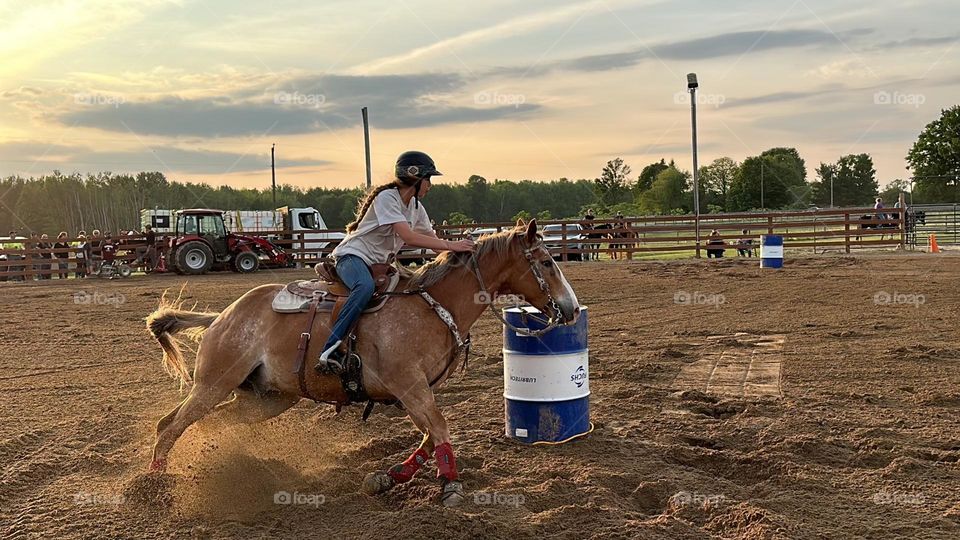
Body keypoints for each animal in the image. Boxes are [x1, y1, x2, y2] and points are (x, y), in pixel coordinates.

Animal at [142, 219, 576, 506]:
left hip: (265, 399)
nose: (570, 310)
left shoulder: (416, 391)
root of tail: (222, 317)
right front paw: (450, 485)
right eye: (548, 262)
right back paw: (153, 487)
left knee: (195, 424)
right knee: (171, 426)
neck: (433, 306)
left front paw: (388, 477)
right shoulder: (409, 385)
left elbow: (428, 435)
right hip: (214, 383)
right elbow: (438, 428)